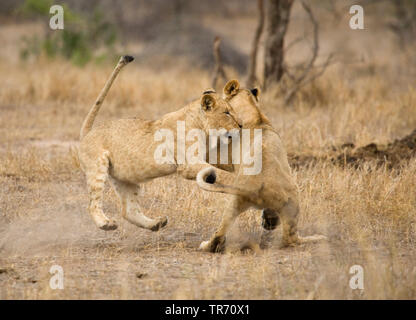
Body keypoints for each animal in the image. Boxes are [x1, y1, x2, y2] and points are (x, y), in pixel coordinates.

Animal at [79, 57, 240, 232]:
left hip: (125, 179)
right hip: (98, 168)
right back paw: (106, 223)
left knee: (129, 210)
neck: (202, 126)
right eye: (227, 113)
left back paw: (156, 223)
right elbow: (225, 175)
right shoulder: (187, 165)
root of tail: (88, 132)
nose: (241, 126)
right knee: (92, 204)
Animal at [197, 80, 326, 252]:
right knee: (291, 238)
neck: (254, 112)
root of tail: (255, 186)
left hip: (234, 201)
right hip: (293, 196)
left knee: (219, 234)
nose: (207, 90)